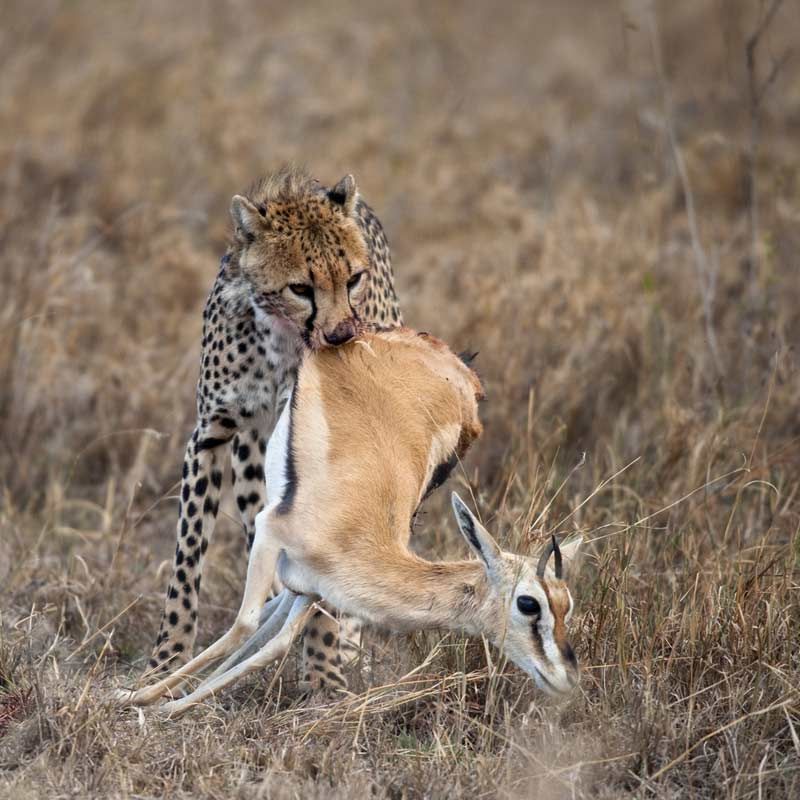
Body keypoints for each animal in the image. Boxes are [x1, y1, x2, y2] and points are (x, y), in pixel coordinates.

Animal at [148, 169, 404, 692]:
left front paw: (325, 674)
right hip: (254, 460)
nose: (342, 335)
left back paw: (347, 650)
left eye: (354, 279)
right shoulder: (210, 435)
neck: (279, 338)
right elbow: (186, 560)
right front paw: (165, 664)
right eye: (300, 288)